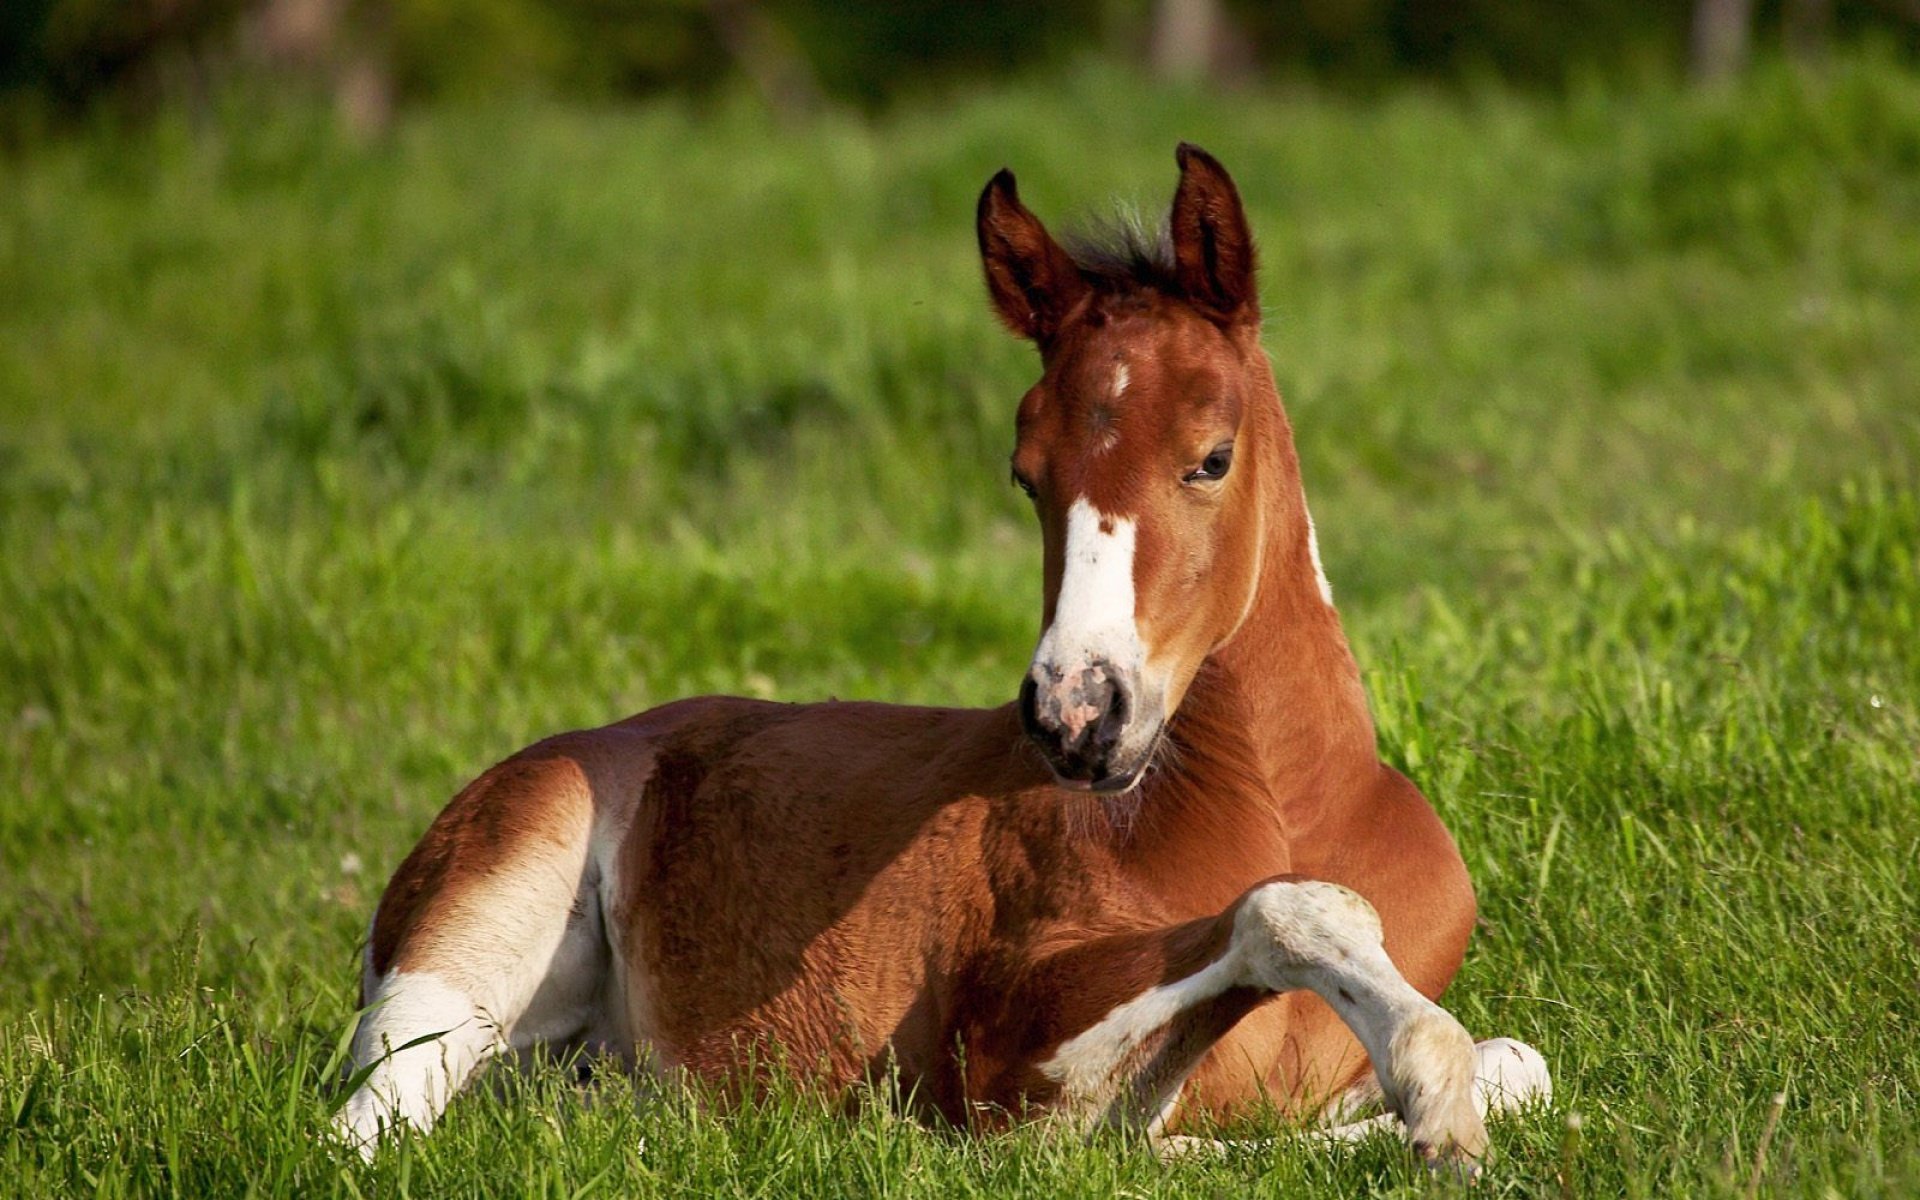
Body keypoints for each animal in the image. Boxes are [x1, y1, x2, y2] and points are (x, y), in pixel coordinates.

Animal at [341, 144, 1543, 1167]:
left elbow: (1522, 1063)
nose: (1076, 714)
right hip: (474, 929)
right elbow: (1276, 925)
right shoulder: (1001, 1051)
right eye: (1026, 475)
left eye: (1212, 457)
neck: (1287, 806)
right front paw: (1431, 1096)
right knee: (370, 1126)